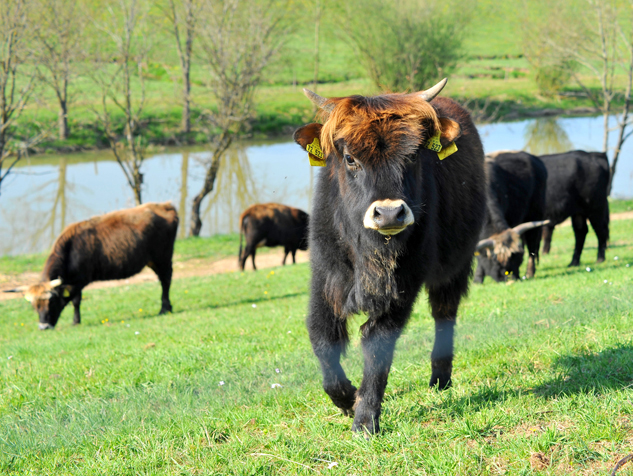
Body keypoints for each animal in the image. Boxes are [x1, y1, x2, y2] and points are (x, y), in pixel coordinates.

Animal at [4, 202, 178, 330]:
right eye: (34, 306)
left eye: (50, 302)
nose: (43, 327)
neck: (70, 250)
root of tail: (164, 205)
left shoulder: (79, 281)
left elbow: (76, 301)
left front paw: (76, 321)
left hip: (162, 257)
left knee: (166, 280)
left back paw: (164, 309)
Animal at [294, 79, 486, 436]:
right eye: (350, 158)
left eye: (413, 155)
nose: (389, 213)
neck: (368, 252)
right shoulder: (325, 279)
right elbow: (323, 338)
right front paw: (347, 398)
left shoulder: (399, 288)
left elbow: (377, 345)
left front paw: (364, 420)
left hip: (455, 267)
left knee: (444, 315)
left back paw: (440, 379)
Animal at [474, 151, 548, 280]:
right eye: (495, 260)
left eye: (519, 256)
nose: (509, 277)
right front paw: (478, 278)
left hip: (535, 216)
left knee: (532, 246)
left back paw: (530, 272)